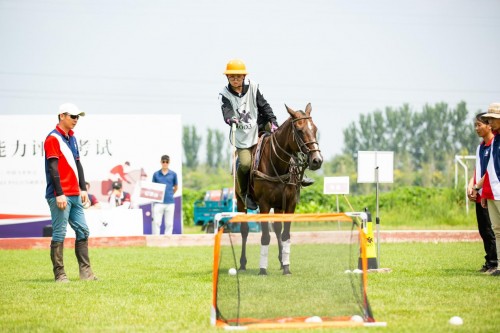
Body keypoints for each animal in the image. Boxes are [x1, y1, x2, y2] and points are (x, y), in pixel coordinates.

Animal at [236, 102, 322, 274]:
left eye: (315, 129)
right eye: (300, 131)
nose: (317, 160)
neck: (277, 164)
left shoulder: (290, 203)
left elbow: (285, 234)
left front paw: (286, 267)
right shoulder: (264, 204)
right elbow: (264, 236)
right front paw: (263, 269)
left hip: (278, 205)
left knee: (276, 228)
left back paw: (282, 261)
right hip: (240, 201)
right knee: (244, 230)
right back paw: (242, 264)